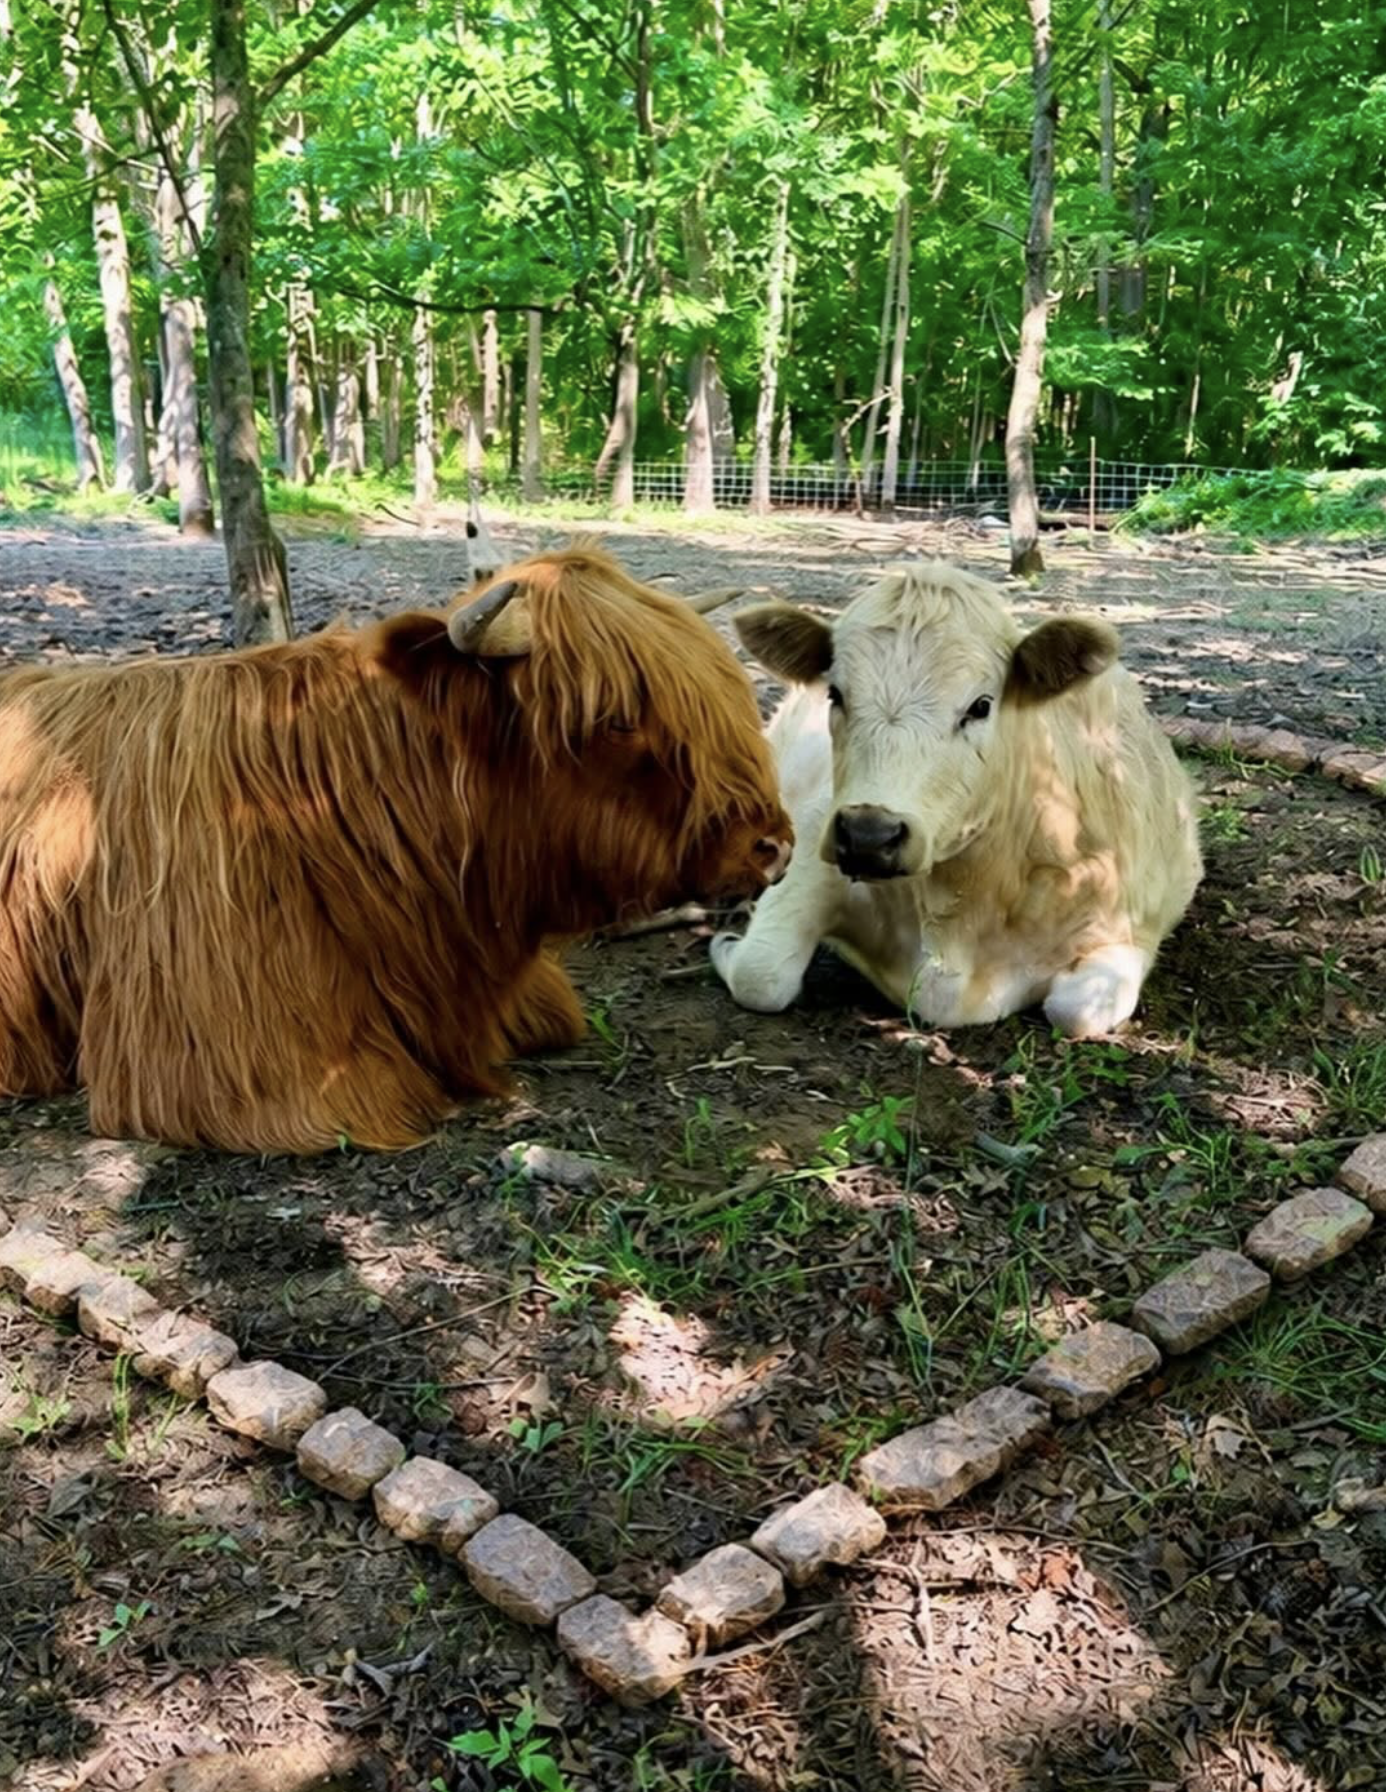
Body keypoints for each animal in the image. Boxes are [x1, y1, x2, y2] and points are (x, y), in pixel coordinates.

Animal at [709, 560, 1202, 1038]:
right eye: (836, 693)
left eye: (981, 705)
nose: (869, 835)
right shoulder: (818, 831)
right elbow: (760, 973)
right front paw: (727, 944)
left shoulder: (1131, 924)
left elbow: (1078, 1010)